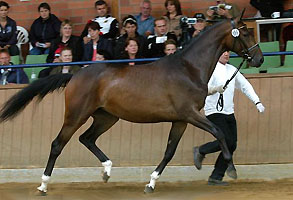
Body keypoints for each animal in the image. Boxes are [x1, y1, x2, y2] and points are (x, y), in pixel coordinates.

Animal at [0, 16, 262, 194]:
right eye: (246, 33)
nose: (259, 59)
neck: (188, 69)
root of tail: (75, 75)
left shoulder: (180, 120)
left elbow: (169, 152)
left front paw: (151, 183)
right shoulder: (190, 114)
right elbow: (219, 132)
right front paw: (231, 169)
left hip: (106, 117)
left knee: (87, 139)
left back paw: (107, 170)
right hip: (76, 115)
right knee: (57, 144)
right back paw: (43, 186)